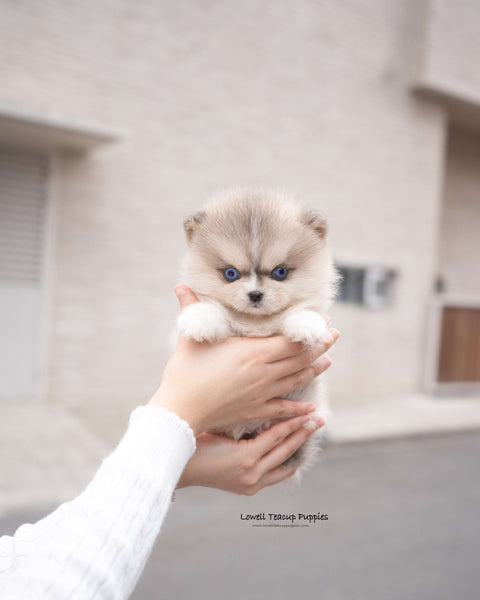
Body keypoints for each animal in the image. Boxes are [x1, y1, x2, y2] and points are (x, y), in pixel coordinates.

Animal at [176, 190, 338, 476]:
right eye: (230, 273)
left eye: (280, 272)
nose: (254, 294)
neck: (255, 324)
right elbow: (211, 307)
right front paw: (200, 321)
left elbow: (302, 310)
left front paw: (305, 324)